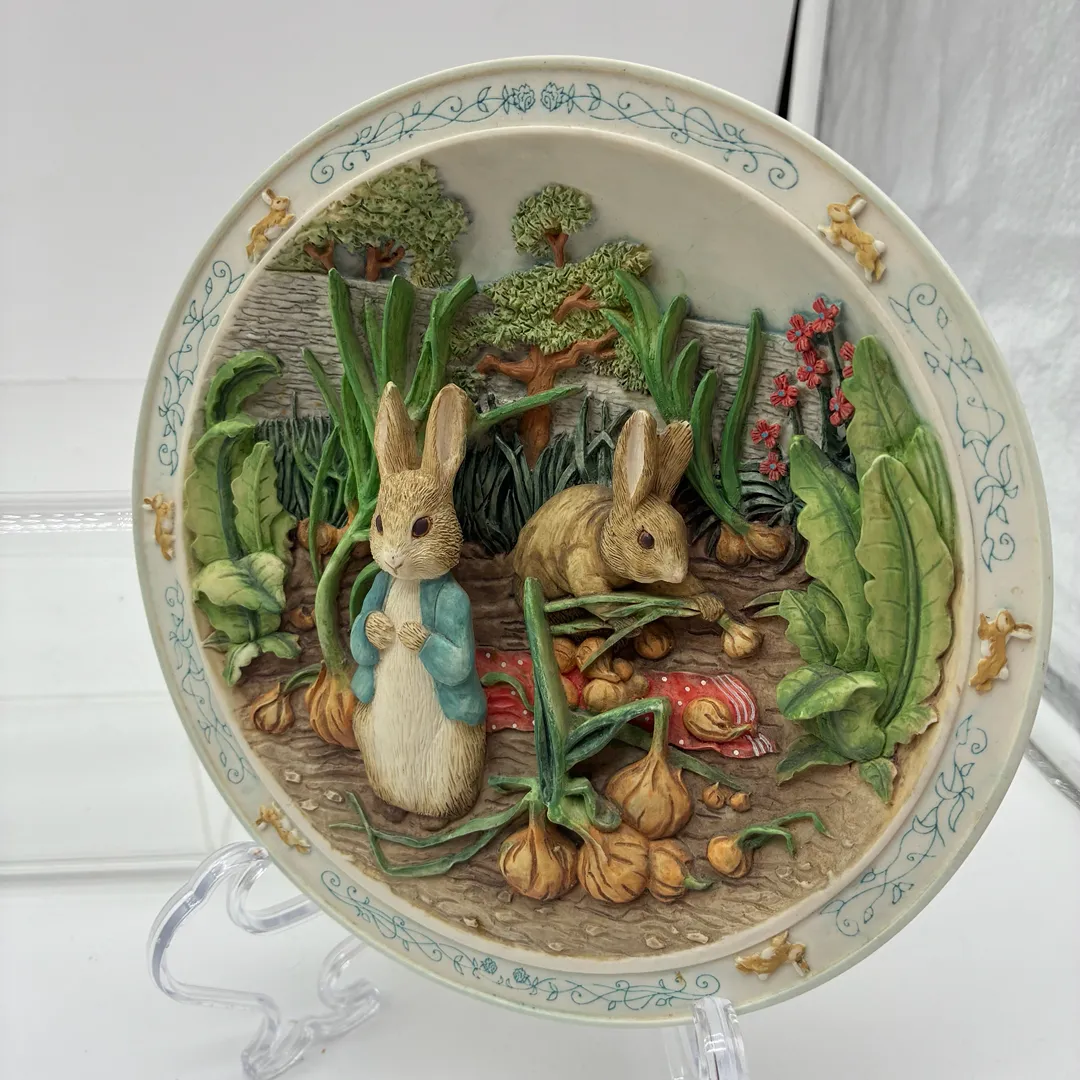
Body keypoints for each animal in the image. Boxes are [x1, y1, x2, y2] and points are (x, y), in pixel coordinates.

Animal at [350, 382, 487, 819]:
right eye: (378, 523)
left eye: (422, 526)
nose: (393, 559)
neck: (410, 585)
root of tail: (415, 802)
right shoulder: (377, 589)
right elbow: (357, 636)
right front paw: (381, 629)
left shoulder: (457, 604)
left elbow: (458, 659)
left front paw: (413, 633)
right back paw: (393, 811)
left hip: (459, 753)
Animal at [512, 410, 760, 657]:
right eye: (646, 540)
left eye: (682, 528)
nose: (679, 574)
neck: (602, 541)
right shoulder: (581, 566)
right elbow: (597, 600)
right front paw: (624, 623)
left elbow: (676, 588)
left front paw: (708, 602)